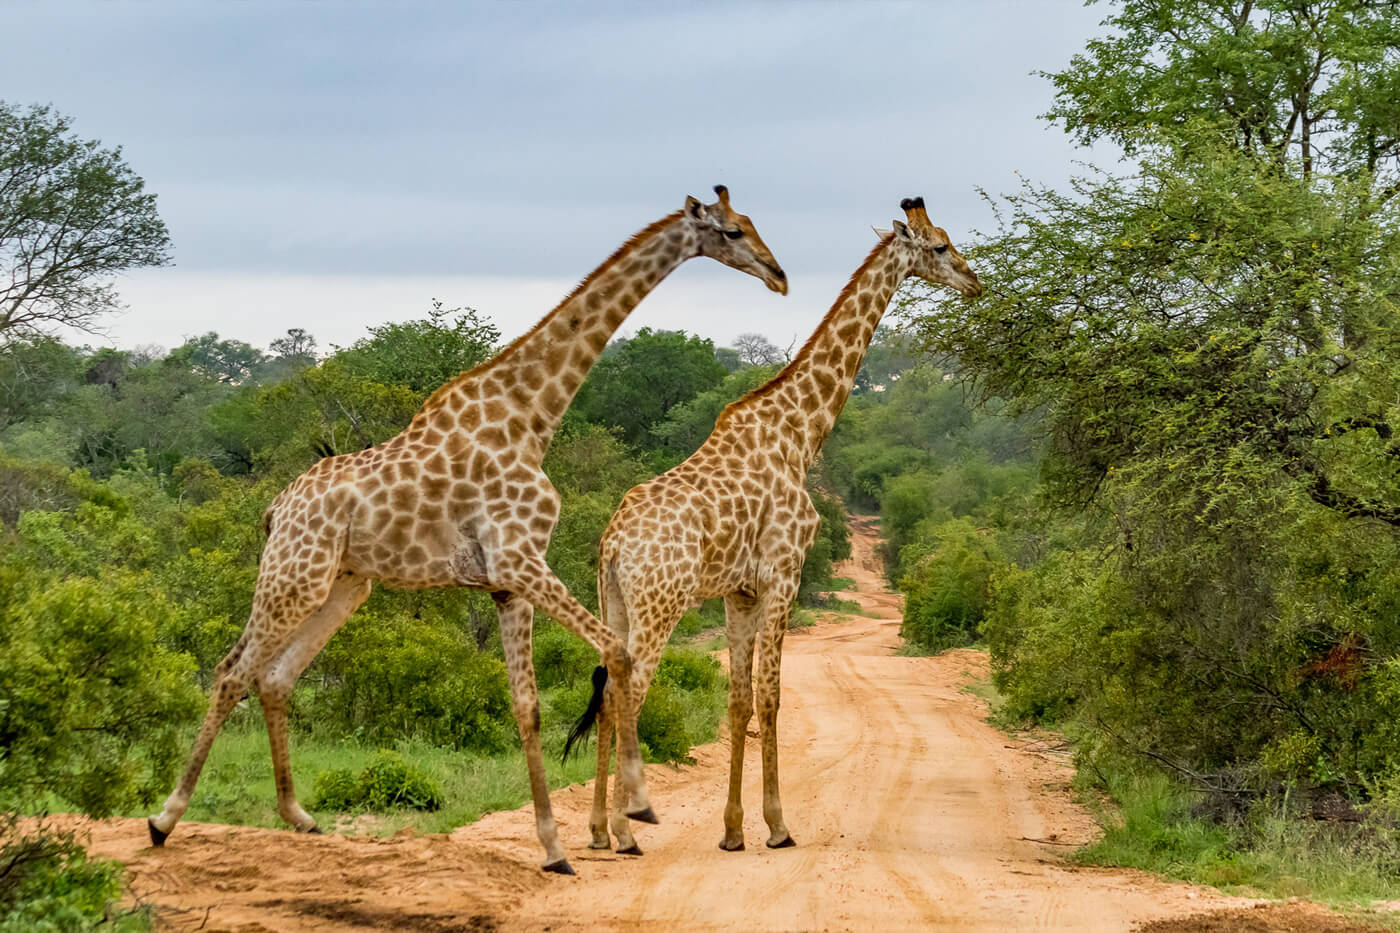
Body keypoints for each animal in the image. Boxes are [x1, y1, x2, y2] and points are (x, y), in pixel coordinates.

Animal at [150, 187, 789, 874]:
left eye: (753, 224)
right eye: (731, 231)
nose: (778, 276)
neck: (530, 419)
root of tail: (276, 508)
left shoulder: (508, 582)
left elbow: (527, 706)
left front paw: (555, 849)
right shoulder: (520, 560)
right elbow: (615, 655)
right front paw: (637, 808)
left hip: (343, 586)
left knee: (275, 677)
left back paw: (299, 816)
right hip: (293, 576)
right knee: (230, 671)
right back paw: (164, 820)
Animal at [565, 196, 974, 851]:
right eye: (939, 246)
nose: (974, 281)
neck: (799, 435)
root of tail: (610, 543)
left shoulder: (740, 591)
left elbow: (738, 702)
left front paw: (733, 830)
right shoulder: (786, 573)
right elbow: (772, 697)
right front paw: (779, 826)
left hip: (615, 604)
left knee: (606, 700)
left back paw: (601, 831)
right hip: (661, 603)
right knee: (629, 696)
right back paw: (627, 833)